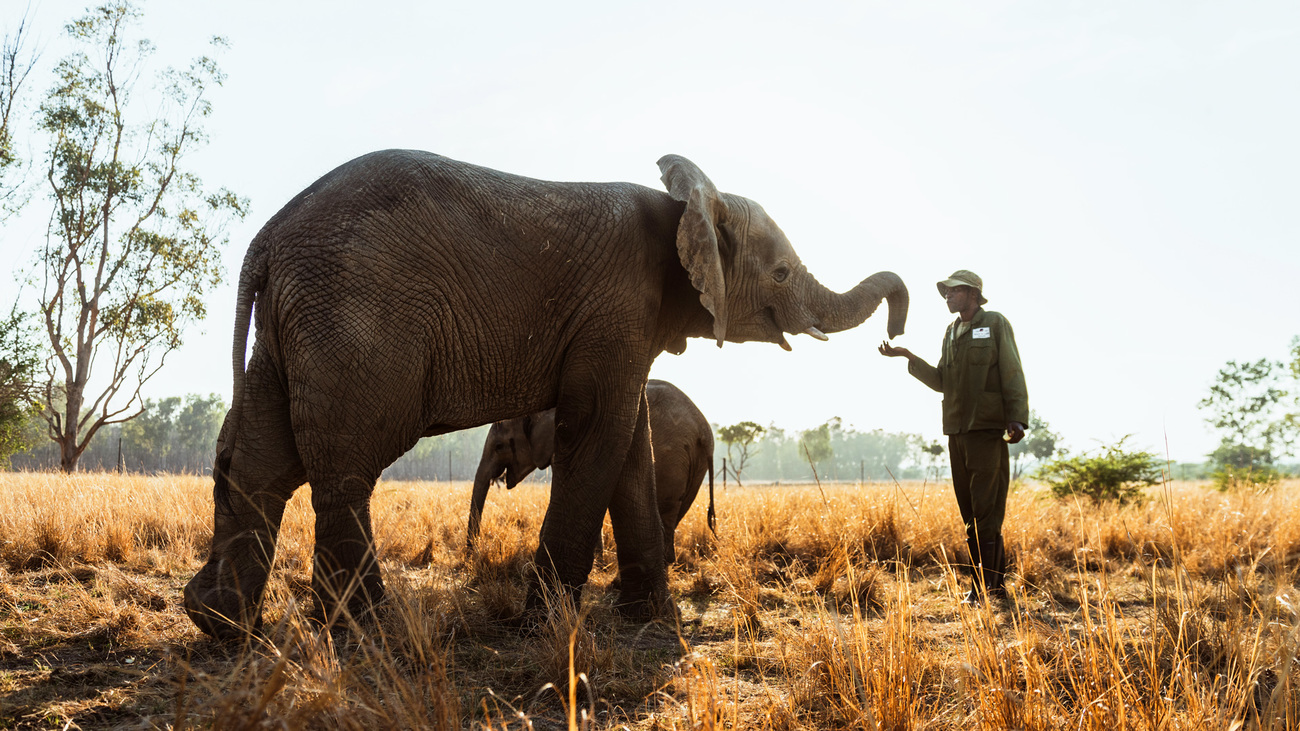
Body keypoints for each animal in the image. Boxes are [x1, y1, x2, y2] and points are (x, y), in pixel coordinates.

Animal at [467, 374, 717, 556]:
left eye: (499, 446)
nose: (473, 554)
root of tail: (704, 430)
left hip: (671, 457)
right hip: (693, 464)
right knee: (677, 511)